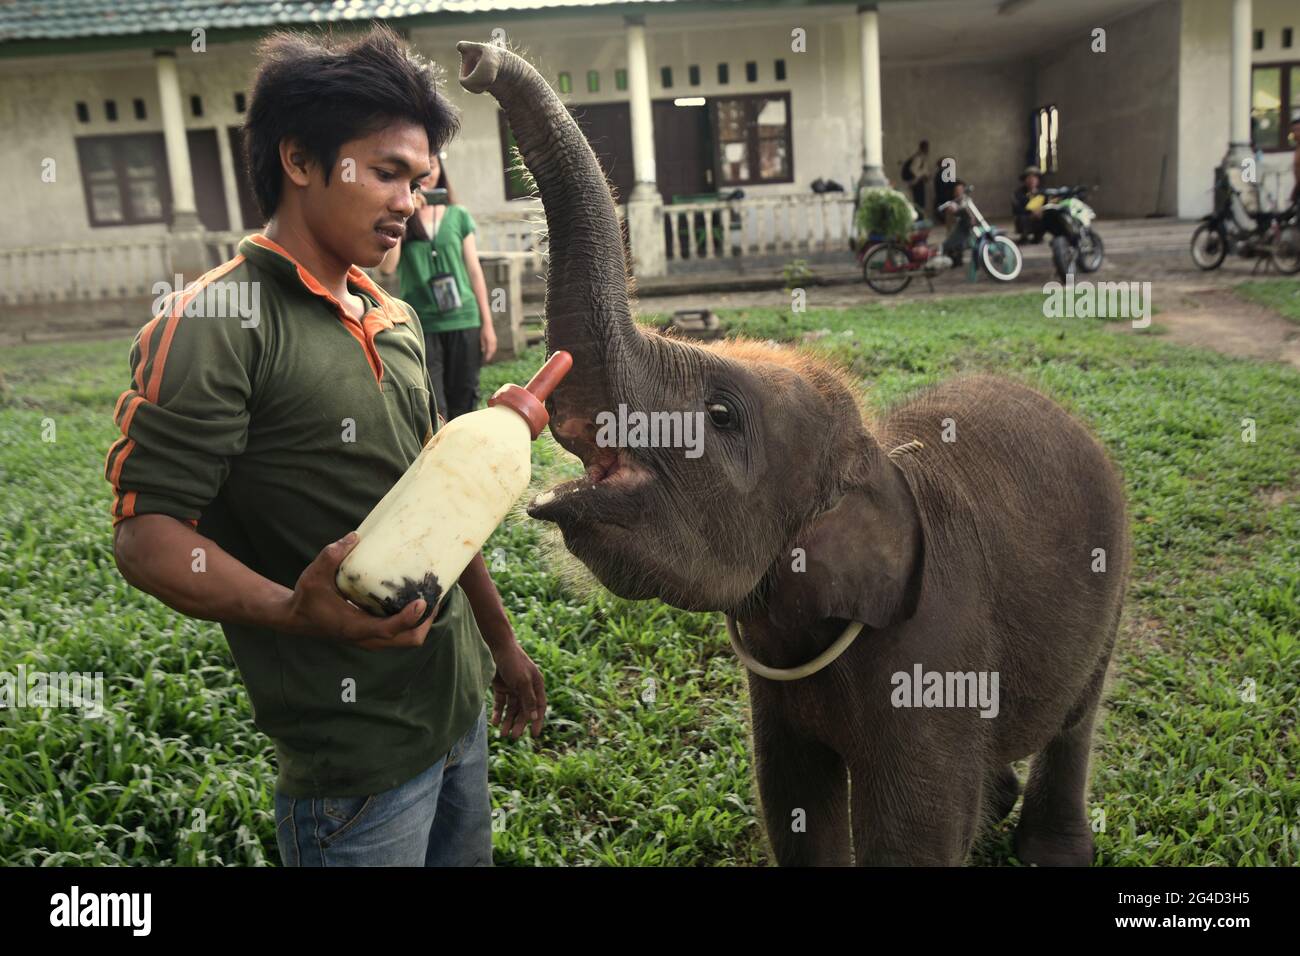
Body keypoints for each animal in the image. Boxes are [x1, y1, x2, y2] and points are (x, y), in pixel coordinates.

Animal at [457, 39, 1128, 868]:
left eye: (720, 415)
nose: (475, 59)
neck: (876, 458)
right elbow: (792, 796)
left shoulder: (935, 644)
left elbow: (914, 829)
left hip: (1114, 575)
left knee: (1079, 713)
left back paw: (1049, 848)